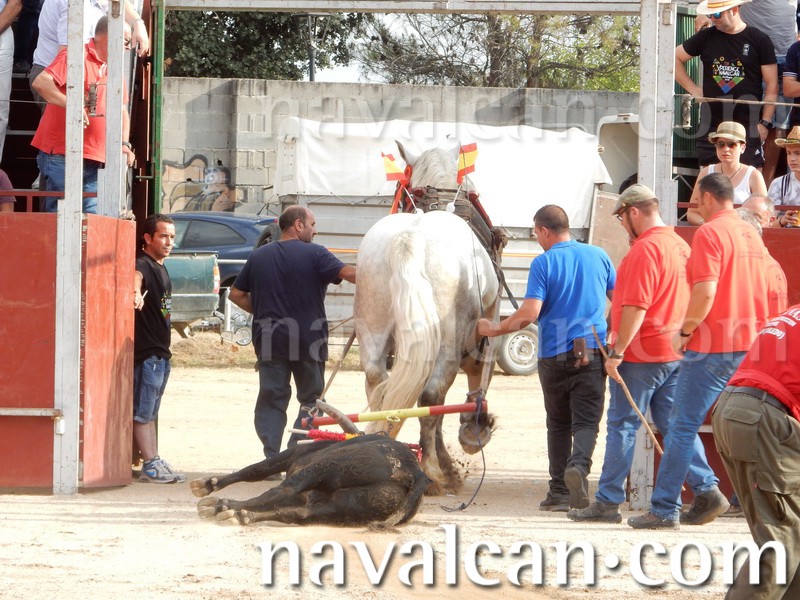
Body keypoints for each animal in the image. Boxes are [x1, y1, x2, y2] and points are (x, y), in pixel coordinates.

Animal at [190, 434, 432, 527]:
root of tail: (415, 472)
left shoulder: (293, 455)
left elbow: (256, 469)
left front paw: (210, 488)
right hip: (345, 507)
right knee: (299, 514)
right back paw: (241, 515)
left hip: (326, 467)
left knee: (283, 490)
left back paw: (225, 508)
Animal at [353, 141, 502, 495]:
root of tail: (411, 239)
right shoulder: (486, 334)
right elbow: (474, 385)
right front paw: (473, 431)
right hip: (447, 343)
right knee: (431, 398)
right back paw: (436, 471)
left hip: (372, 325)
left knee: (378, 383)